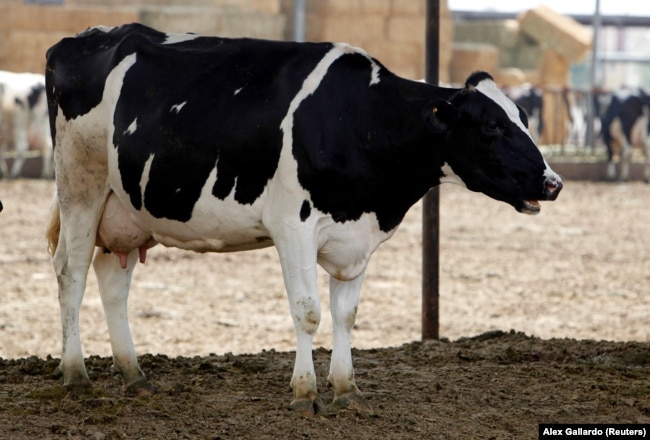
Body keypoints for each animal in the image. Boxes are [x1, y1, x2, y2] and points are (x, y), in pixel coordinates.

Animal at [45, 23, 560, 416]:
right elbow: (308, 312)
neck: (359, 120)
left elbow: (346, 314)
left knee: (112, 279)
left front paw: (347, 390)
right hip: (81, 184)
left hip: (127, 209)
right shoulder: (292, 225)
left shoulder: (357, 237)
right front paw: (305, 392)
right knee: (71, 272)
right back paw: (76, 374)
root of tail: (85, 37)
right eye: (492, 125)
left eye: (523, 117)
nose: (552, 182)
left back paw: (134, 374)